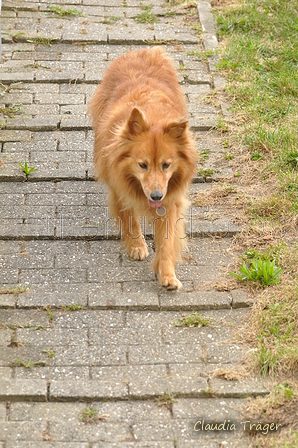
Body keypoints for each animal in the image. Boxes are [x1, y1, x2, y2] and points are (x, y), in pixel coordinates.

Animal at [87, 46, 197, 290]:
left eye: (166, 165)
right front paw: (137, 245)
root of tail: (143, 49)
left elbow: (167, 240)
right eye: (142, 165)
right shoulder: (119, 186)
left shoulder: (170, 200)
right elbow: (129, 217)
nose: (156, 196)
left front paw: (167, 275)